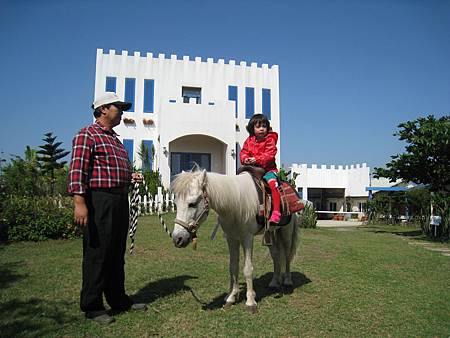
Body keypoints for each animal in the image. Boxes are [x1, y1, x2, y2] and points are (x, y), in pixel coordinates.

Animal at [171, 169, 300, 312]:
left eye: (192, 204)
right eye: (175, 203)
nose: (177, 238)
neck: (236, 204)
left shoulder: (247, 239)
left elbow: (247, 269)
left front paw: (250, 302)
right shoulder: (231, 238)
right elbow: (233, 267)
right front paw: (231, 297)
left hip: (286, 232)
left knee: (287, 255)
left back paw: (287, 281)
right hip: (270, 234)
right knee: (276, 256)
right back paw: (274, 282)